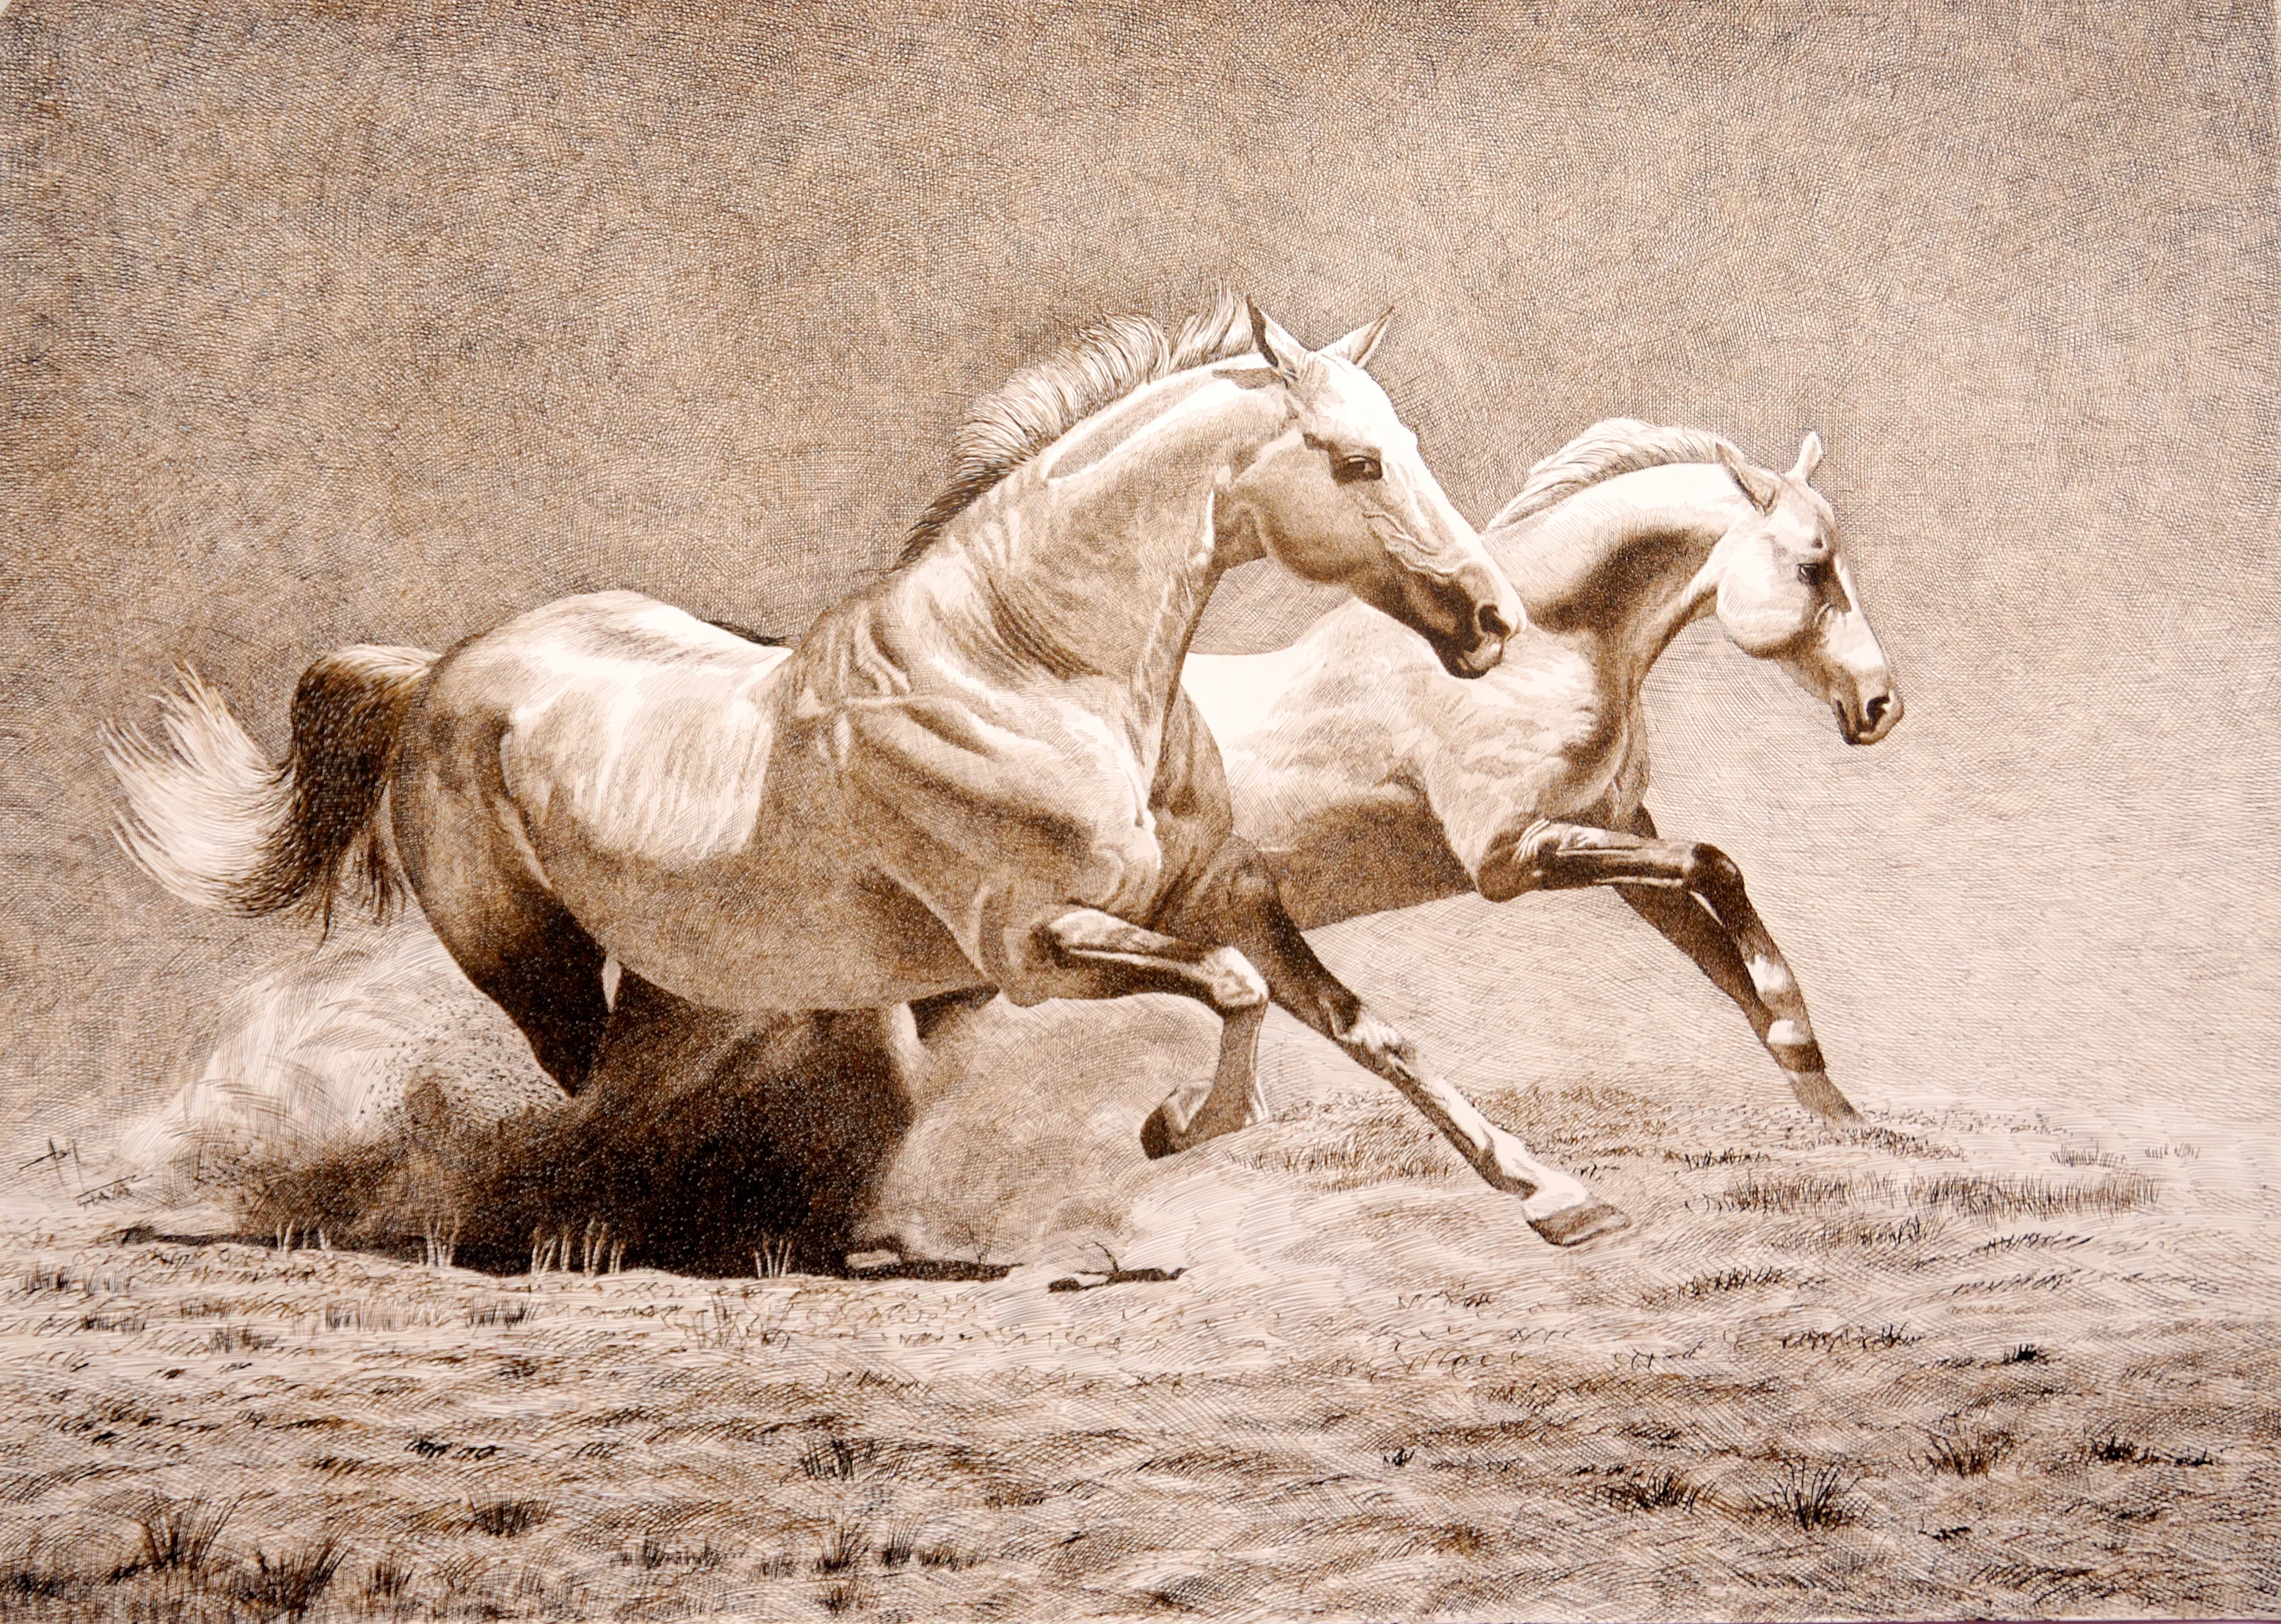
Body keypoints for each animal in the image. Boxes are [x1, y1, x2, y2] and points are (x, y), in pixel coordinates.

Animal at [109, 294, 1632, 1247]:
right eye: (1356, 459)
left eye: (1408, 444)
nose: (1491, 621)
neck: (1031, 667)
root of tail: (439, 672)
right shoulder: (1038, 944)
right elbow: (1237, 997)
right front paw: (1170, 1126)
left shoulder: (1225, 898)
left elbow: (1373, 1030)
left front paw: (1559, 1196)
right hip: (536, 969)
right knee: (584, 1100)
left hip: (695, 984)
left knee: (637, 1095)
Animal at [1140, 419, 1903, 1158]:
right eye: (1811, 568)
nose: (1881, 707)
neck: (1546, 648)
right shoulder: (1509, 857)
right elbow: (1714, 865)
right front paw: (1799, 1037)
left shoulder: (1622, 836)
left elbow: (1725, 960)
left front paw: (1837, 1114)